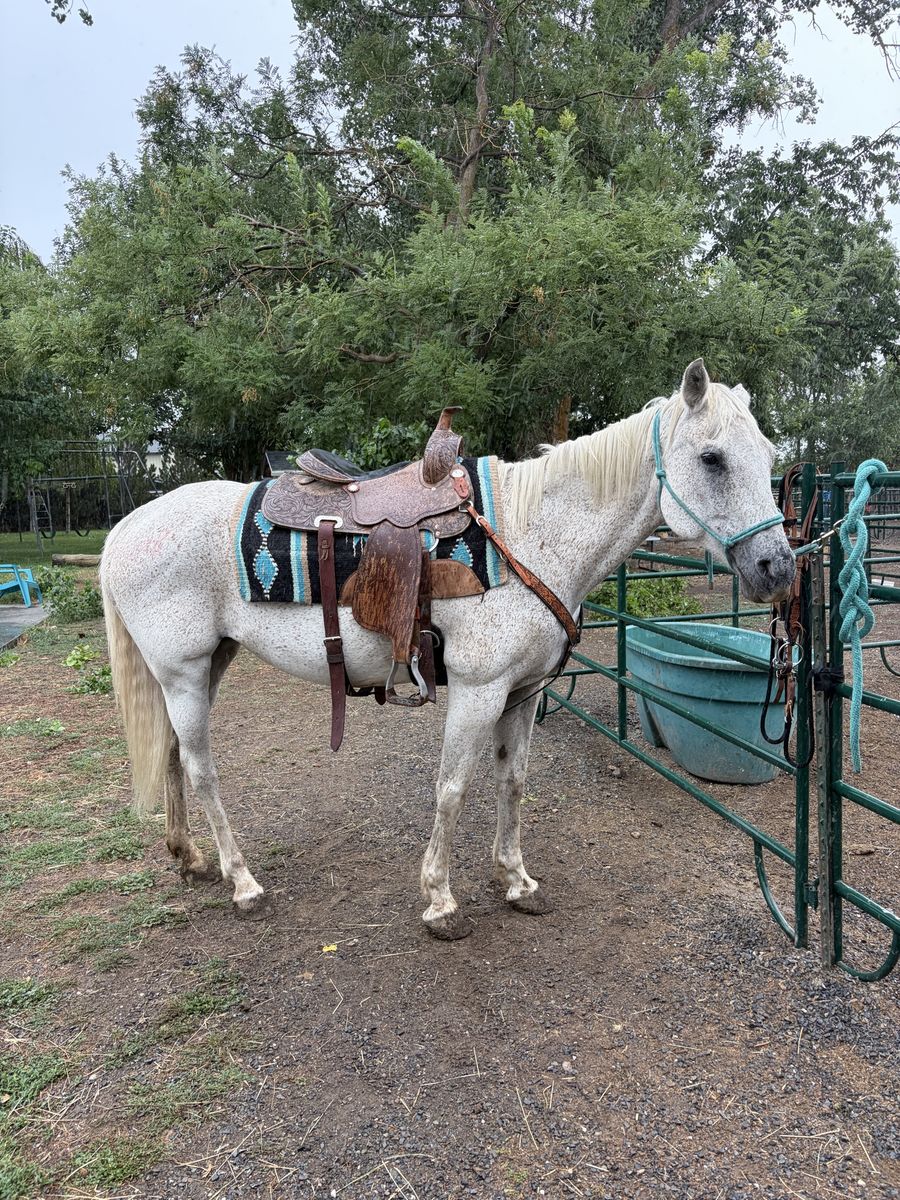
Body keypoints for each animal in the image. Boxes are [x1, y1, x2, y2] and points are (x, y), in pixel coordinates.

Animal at [100, 360, 794, 939]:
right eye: (711, 458)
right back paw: (242, 881)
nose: (778, 568)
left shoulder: (521, 693)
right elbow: (453, 787)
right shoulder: (478, 691)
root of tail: (124, 530)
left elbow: (512, 781)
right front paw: (440, 900)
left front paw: (516, 881)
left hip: (206, 664)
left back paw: (189, 857)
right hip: (184, 671)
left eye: (766, 455)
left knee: (170, 752)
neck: (530, 534)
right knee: (200, 767)